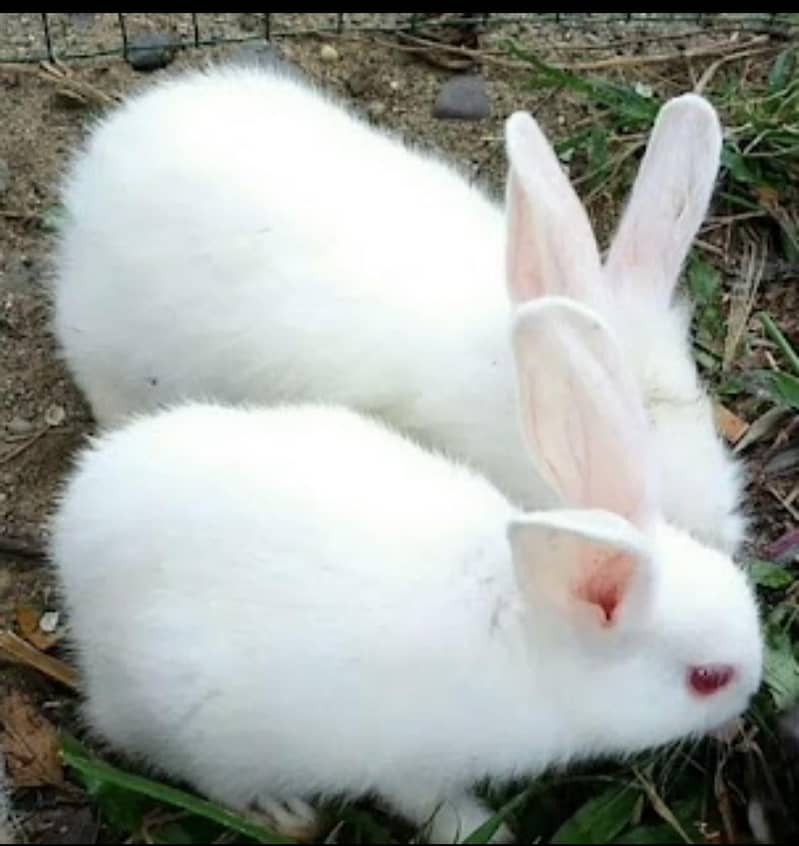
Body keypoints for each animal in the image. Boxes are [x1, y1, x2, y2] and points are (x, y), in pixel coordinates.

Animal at [49, 295, 763, 844]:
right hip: (193, 723)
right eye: (707, 679)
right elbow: (432, 805)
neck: (529, 636)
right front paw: (488, 834)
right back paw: (282, 812)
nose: (748, 703)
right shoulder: (411, 763)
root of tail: (73, 530)